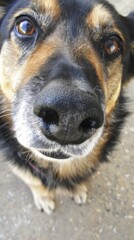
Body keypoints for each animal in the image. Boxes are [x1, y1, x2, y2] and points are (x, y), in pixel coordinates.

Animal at [0, 0, 133, 214]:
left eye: (112, 45)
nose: (70, 114)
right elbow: (33, 180)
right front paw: (43, 197)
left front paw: (78, 188)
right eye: (25, 26)